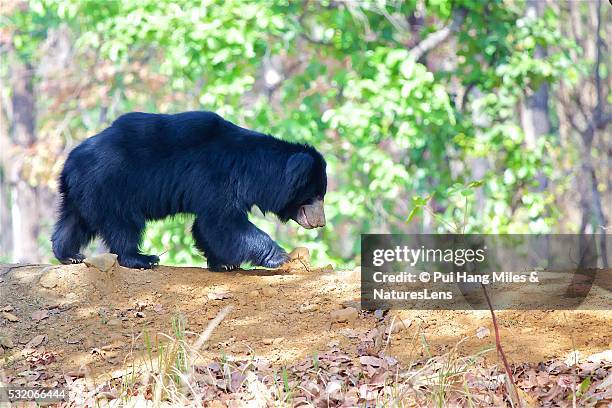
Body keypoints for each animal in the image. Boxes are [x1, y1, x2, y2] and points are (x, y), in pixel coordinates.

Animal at [52, 111, 328, 270]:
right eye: (314, 196)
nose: (321, 223)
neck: (250, 167)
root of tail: (69, 164)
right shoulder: (216, 176)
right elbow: (223, 223)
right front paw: (281, 257)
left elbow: (207, 226)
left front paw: (223, 264)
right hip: (111, 185)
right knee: (123, 225)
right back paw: (141, 258)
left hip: (82, 193)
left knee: (73, 222)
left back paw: (69, 255)